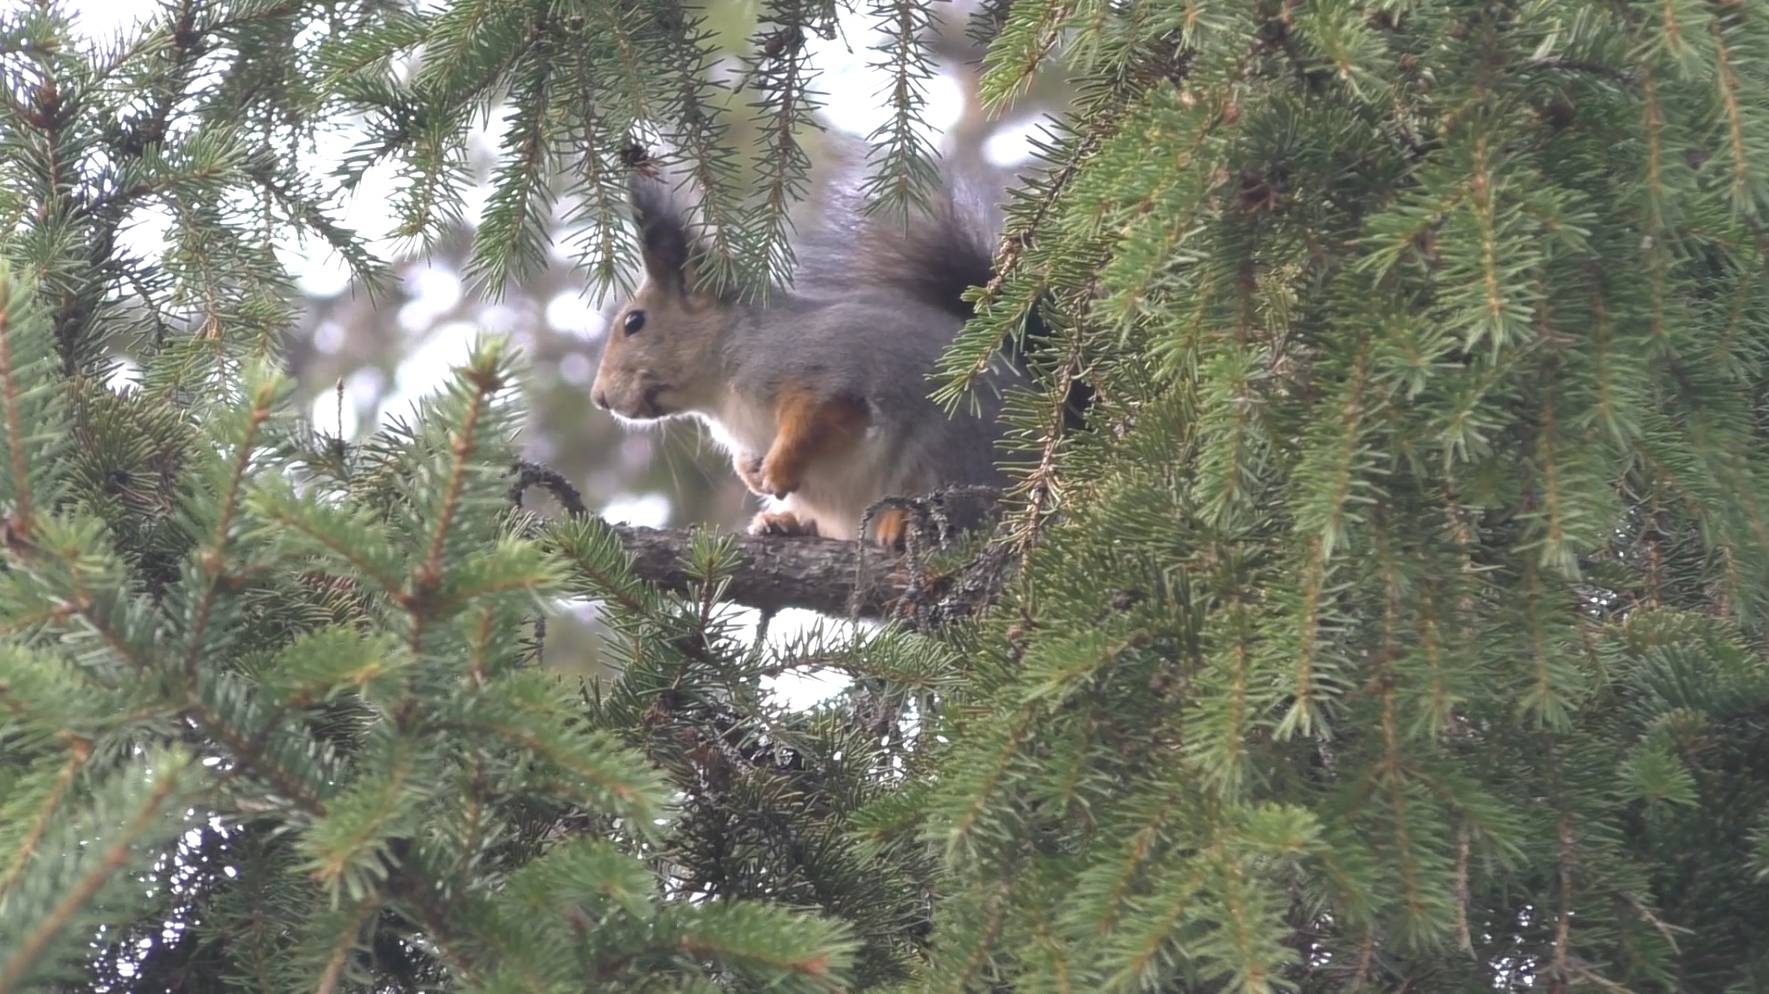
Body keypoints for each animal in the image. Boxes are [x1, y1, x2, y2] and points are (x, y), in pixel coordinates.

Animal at [590, 151, 1075, 544]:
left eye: (634, 322)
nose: (599, 399)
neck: (723, 389)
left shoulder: (828, 368)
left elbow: (816, 417)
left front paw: (778, 468)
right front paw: (752, 475)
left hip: (949, 461)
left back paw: (899, 524)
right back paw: (785, 522)